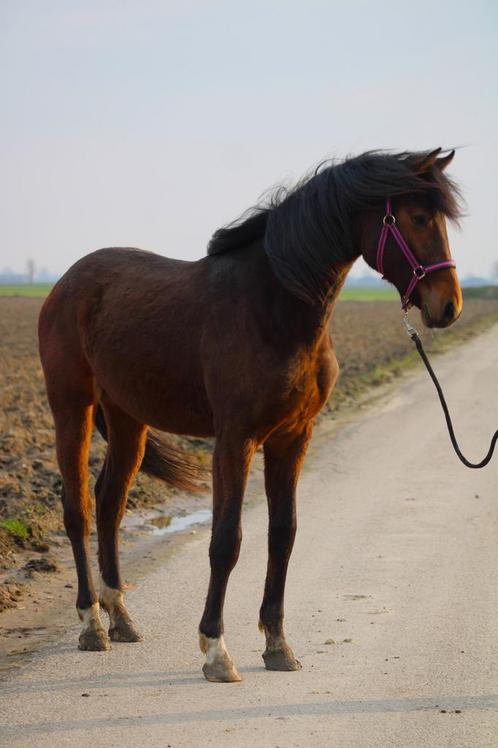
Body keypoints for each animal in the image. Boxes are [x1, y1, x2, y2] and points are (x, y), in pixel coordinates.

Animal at [39, 148, 462, 684]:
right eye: (419, 217)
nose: (448, 305)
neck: (272, 308)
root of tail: (67, 282)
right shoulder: (235, 439)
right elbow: (227, 540)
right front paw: (216, 650)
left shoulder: (293, 437)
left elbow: (283, 534)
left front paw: (278, 645)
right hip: (71, 407)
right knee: (78, 509)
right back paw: (91, 624)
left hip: (127, 418)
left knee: (109, 502)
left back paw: (121, 618)